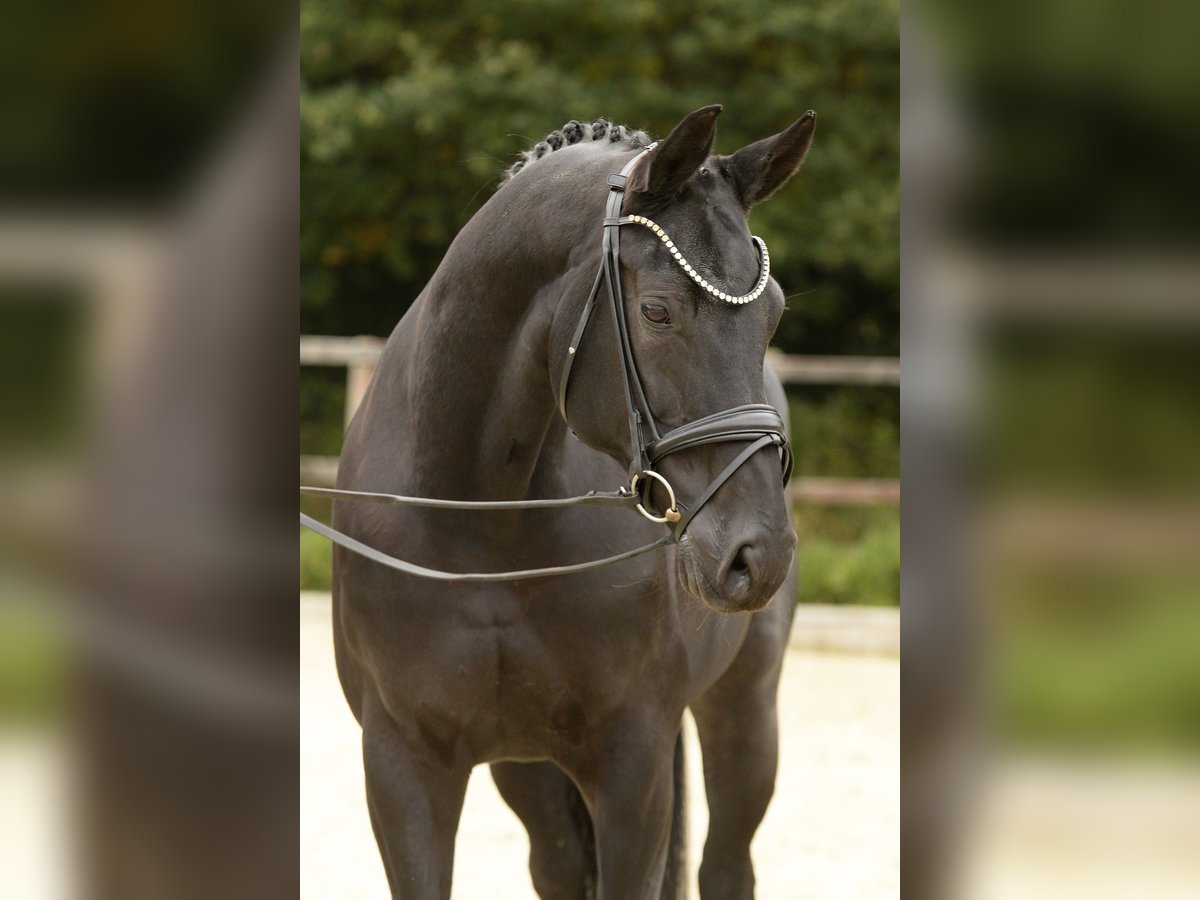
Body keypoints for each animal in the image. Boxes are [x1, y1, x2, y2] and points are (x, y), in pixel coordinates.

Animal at [327, 104, 816, 899]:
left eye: (771, 315)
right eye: (657, 311)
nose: (759, 554)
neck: (483, 533)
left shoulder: (632, 770)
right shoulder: (402, 765)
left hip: (744, 710)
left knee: (726, 863)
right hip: (523, 767)